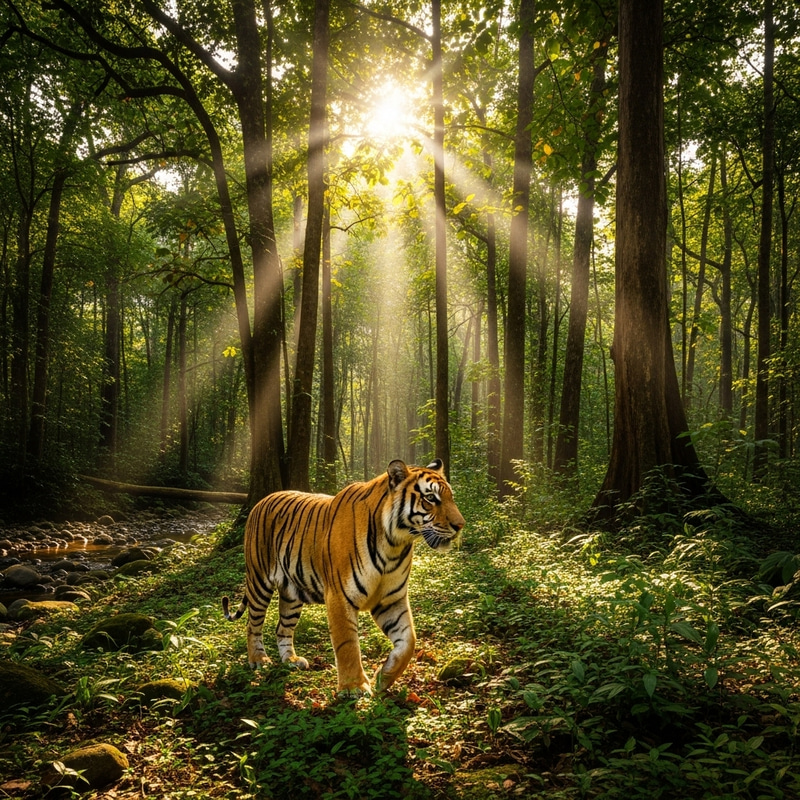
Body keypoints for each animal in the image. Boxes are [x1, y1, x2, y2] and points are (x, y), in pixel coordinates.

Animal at [222, 459, 465, 696]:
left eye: (450, 497)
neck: (395, 543)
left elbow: (408, 641)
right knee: (253, 624)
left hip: (292, 593)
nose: (460, 526)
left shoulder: (391, 599)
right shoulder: (340, 596)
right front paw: (353, 687)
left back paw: (291, 660)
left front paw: (383, 678)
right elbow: (347, 644)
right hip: (259, 581)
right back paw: (259, 660)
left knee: (282, 628)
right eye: (431, 498)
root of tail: (261, 501)